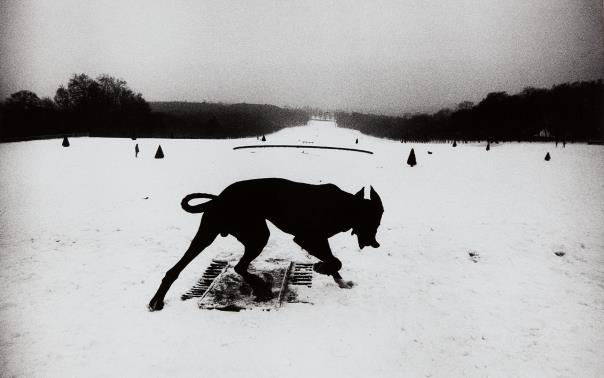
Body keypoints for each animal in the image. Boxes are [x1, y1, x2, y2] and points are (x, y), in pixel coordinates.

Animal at [148, 177, 382, 310]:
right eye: (375, 222)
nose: (376, 244)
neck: (346, 206)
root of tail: (218, 198)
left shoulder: (319, 239)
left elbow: (334, 261)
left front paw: (340, 281)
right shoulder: (307, 238)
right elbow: (334, 261)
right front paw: (321, 267)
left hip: (237, 234)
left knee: (236, 266)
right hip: (236, 235)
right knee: (226, 267)